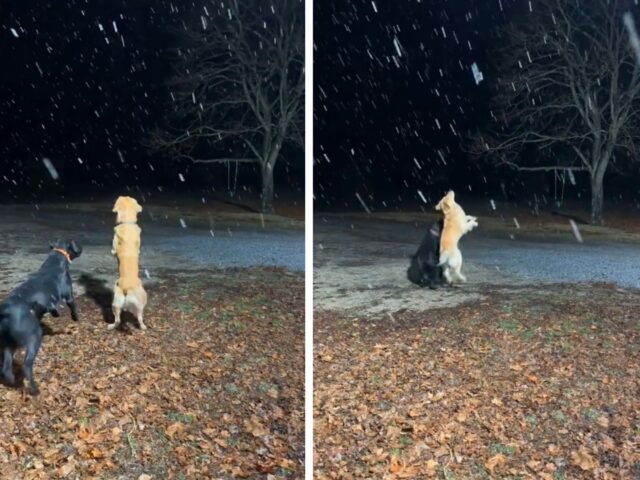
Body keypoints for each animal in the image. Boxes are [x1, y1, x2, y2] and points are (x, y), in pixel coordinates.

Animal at [0, 240, 82, 394]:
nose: (81, 247)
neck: (56, 258)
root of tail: (5, 312)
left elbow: (52, 309)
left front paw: (56, 313)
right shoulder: (69, 296)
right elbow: (73, 308)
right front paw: (76, 318)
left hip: (8, 344)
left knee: (6, 369)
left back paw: (12, 382)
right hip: (34, 337)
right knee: (26, 366)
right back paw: (34, 389)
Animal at [112, 197, 149, 332]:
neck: (127, 222)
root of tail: (126, 288)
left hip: (115, 303)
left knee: (118, 320)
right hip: (140, 300)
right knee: (139, 317)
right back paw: (143, 327)